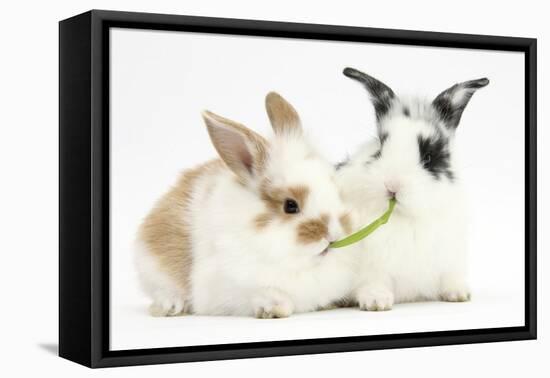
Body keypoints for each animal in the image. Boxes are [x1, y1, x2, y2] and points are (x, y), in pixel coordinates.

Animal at [136, 92, 360, 318]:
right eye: (290, 206)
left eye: (335, 188)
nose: (334, 234)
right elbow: (266, 295)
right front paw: (275, 309)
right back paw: (170, 306)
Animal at [336, 67, 492, 310]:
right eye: (379, 148)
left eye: (429, 157)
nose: (392, 186)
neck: (406, 216)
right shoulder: (371, 264)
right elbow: (373, 281)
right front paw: (376, 301)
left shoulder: (450, 255)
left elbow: (450, 276)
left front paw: (458, 294)